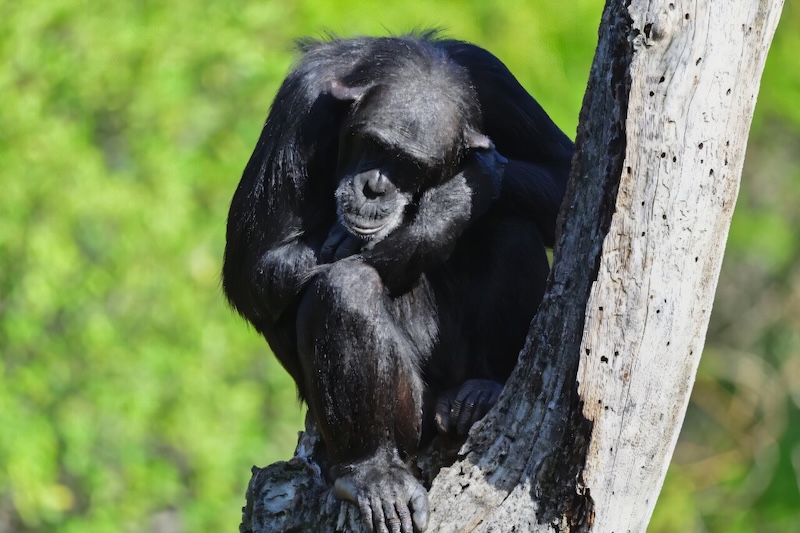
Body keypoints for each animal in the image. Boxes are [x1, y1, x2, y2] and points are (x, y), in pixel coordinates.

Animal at [222, 33, 572, 532]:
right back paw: (374, 473)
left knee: (512, 227)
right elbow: (254, 266)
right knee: (345, 289)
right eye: (373, 144)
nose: (374, 188)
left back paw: (482, 390)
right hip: (413, 415)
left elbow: (564, 173)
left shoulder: (495, 79)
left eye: (408, 164)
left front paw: (466, 186)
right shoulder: (300, 104)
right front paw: (446, 205)